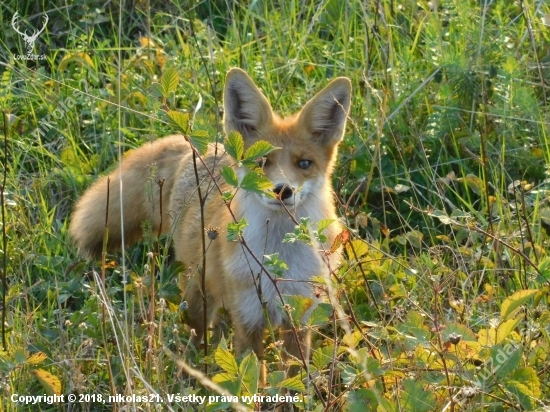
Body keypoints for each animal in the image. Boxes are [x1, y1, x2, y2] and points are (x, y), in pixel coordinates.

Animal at [70, 67, 354, 364]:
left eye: (304, 163)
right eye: (261, 162)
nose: (282, 190)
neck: (280, 258)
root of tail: (199, 149)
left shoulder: (299, 321)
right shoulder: (248, 320)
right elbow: (249, 372)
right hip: (196, 296)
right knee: (194, 338)